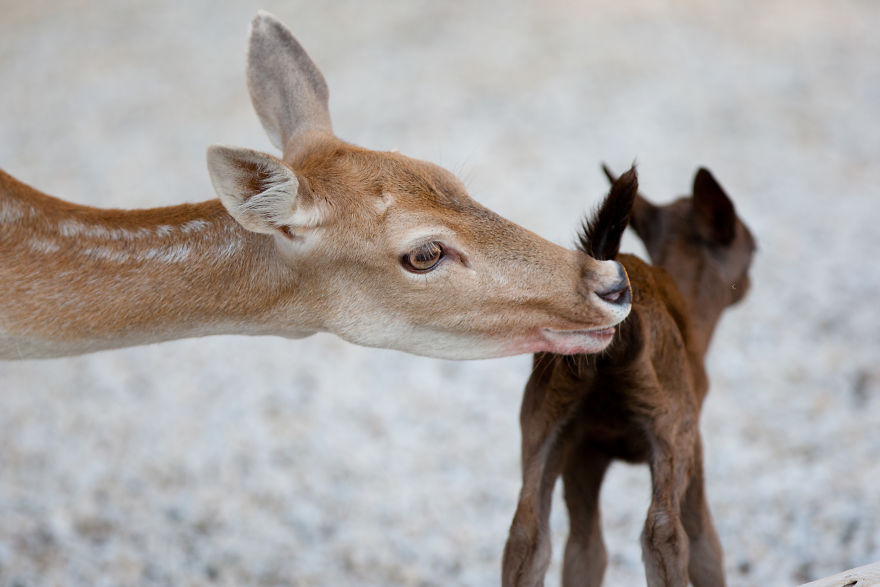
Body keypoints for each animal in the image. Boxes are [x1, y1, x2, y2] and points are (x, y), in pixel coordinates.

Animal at [501, 164, 756, 587]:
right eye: (751, 246)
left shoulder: (583, 451)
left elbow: (584, 554)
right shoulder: (694, 443)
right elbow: (706, 551)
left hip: (541, 423)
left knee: (526, 535)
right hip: (671, 429)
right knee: (665, 532)